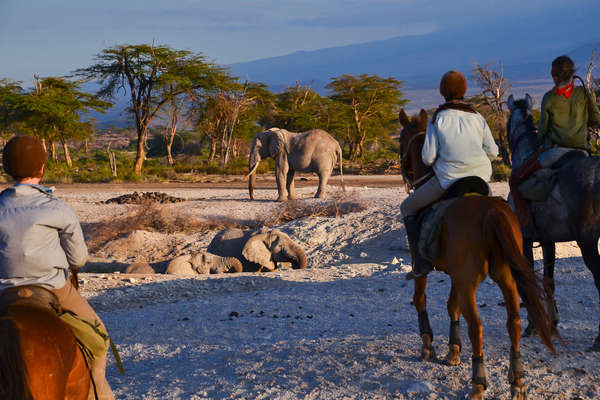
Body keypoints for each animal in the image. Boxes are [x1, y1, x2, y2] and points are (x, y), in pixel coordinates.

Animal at [396, 109, 556, 400]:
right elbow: (452, 305)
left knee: (477, 327)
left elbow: (420, 298)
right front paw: (453, 350)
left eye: (402, 140)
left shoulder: (426, 267)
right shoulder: (456, 276)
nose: (407, 175)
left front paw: (428, 346)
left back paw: (477, 383)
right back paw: (517, 381)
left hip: (470, 282)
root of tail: (490, 212)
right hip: (505, 278)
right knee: (513, 322)